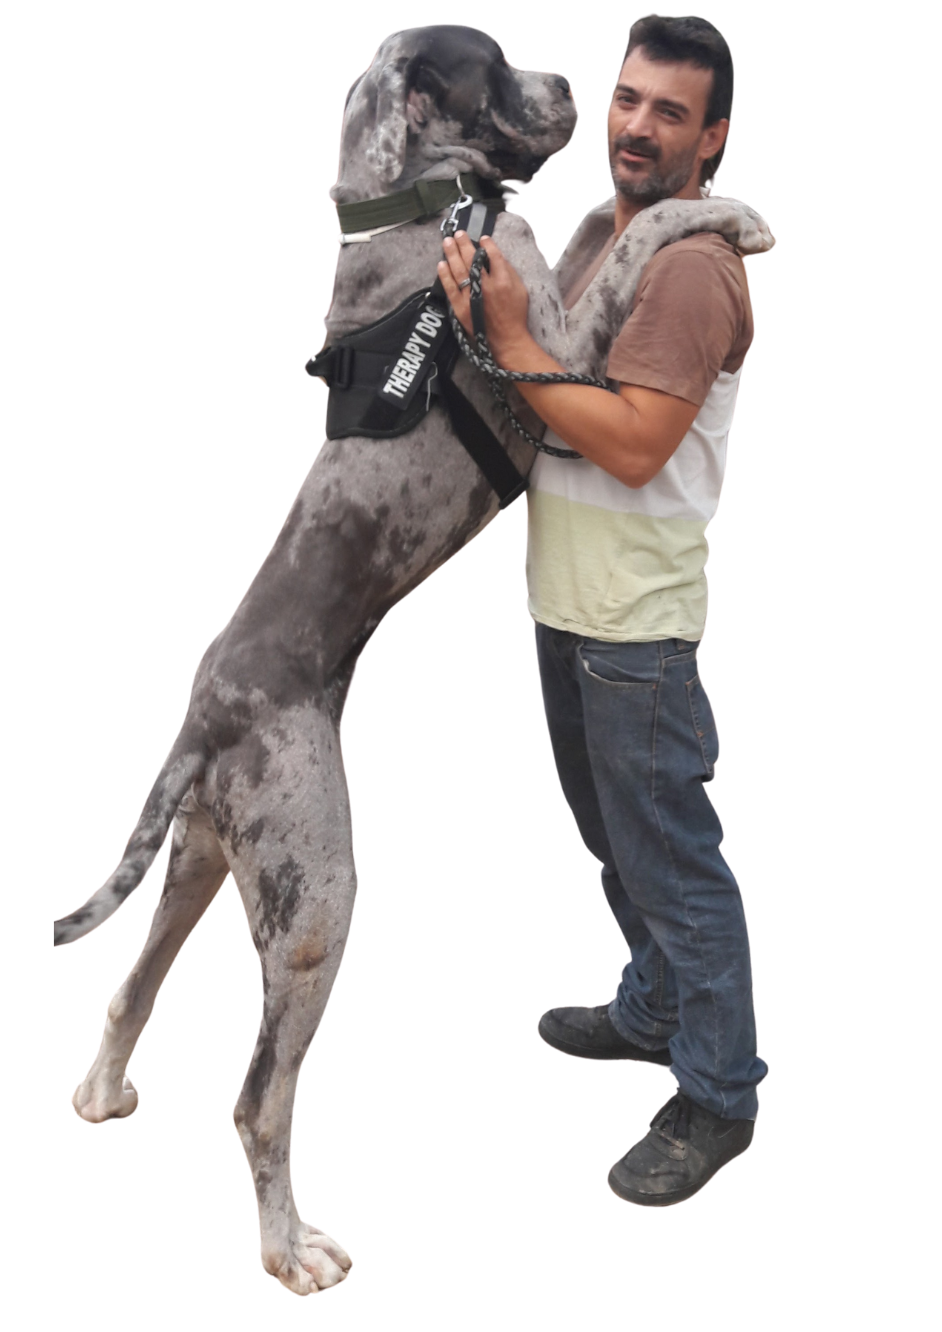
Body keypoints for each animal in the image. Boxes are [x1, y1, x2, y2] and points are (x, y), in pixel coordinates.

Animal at [54, 24, 577, 1297]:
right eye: (497, 65)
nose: (570, 86)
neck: (408, 204)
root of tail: (202, 722)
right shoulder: (564, 356)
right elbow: (628, 241)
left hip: (202, 866)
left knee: (131, 986)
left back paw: (101, 1094)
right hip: (316, 906)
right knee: (257, 1103)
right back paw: (292, 1251)